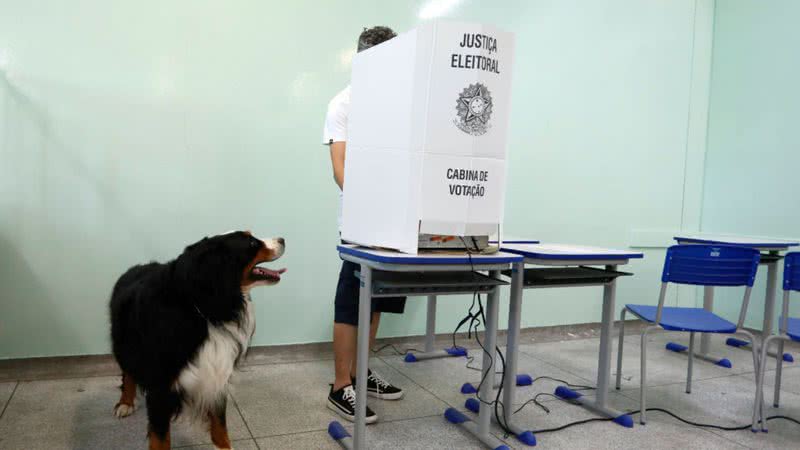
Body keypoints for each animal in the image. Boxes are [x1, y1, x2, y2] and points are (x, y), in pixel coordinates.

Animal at [109, 232, 284, 450]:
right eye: (252, 242)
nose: (283, 239)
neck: (205, 309)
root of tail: (136, 267)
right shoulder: (160, 386)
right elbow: (160, 437)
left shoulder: (216, 373)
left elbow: (219, 422)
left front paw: (225, 446)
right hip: (124, 345)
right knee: (127, 373)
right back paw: (125, 403)